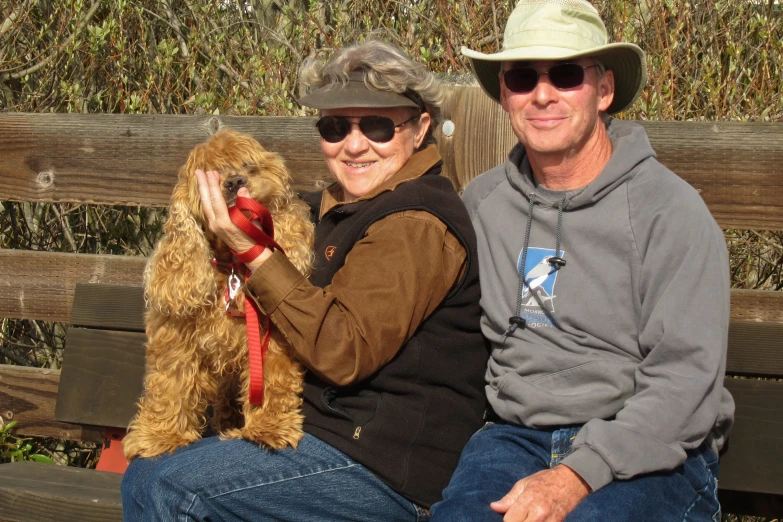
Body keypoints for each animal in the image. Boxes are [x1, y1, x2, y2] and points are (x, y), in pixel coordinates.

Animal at [122, 130, 312, 460]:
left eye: (249, 167)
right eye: (212, 173)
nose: (235, 181)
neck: (231, 266)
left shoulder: (271, 341)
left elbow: (273, 382)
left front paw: (269, 429)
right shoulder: (177, 339)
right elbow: (171, 385)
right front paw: (160, 436)